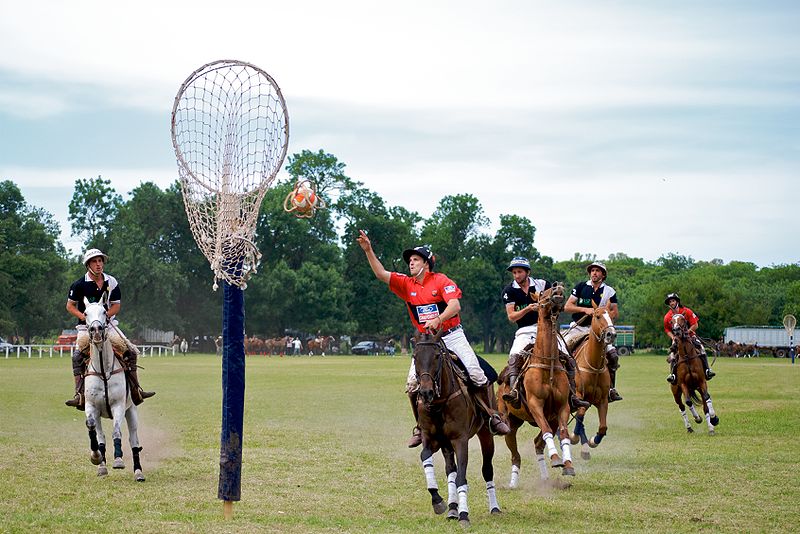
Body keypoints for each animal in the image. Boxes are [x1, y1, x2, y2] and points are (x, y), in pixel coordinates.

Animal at [82, 300, 145, 484]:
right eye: (85, 313)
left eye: (104, 311)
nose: (96, 331)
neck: (103, 371)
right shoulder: (91, 406)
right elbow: (92, 427)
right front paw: (96, 457)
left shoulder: (118, 405)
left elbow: (117, 431)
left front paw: (118, 460)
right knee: (101, 436)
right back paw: (102, 466)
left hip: (131, 410)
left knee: (134, 440)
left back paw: (138, 472)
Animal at [412, 332, 500, 528]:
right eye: (414, 357)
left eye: (437, 356)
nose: (426, 392)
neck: (438, 403)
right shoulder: (430, 438)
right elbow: (425, 457)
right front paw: (438, 501)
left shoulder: (460, 440)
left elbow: (462, 477)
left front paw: (464, 515)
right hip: (446, 444)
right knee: (450, 470)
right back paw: (452, 508)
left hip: (485, 433)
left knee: (487, 469)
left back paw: (494, 508)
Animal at [494, 284, 576, 490]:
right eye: (541, 294)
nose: (557, 286)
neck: (548, 364)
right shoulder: (534, 404)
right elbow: (546, 430)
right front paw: (556, 459)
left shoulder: (562, 407)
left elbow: (563, 433)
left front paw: (567, 465)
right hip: (510, 422)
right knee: (516, 455)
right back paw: (513, 483)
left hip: (549, 418)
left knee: (538, 443)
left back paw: (546, 477)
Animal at [564, 304, 616, 462]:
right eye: (597, 316)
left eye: (611, 316)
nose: (611, 334)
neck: (594, 365)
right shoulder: (580, 396)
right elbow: (580, 417)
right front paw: (574, 438)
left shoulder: (602, 399)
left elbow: (603, 427)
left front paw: (593, 441)